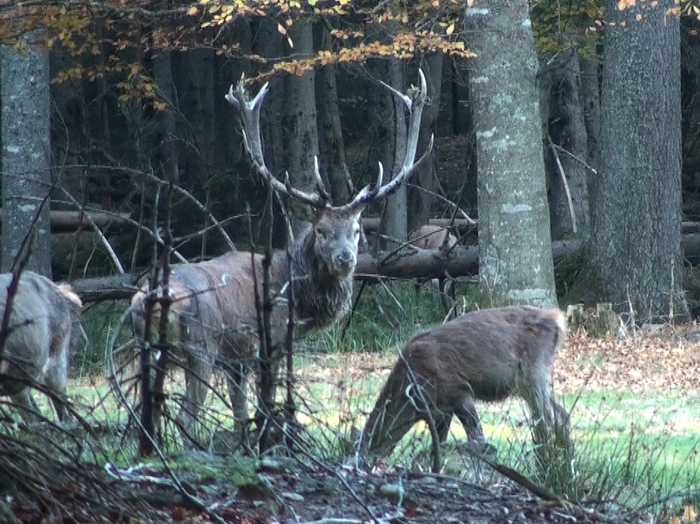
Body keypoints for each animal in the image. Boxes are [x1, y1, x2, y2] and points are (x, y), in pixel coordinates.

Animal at [128, 71, 430, 444]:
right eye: (321, 230)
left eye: (357, 230)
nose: (345, 259)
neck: (298, 296)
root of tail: (148, 299)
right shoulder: (269, 342)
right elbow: (265, 405)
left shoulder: (236, 358)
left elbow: (240, 412)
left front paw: (245, 444)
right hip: (199, 348)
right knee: (186, 417)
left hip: (145, 349)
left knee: (146, 414)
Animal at [358, 308, 572, 466]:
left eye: (368, 443)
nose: (363, 464)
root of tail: (557, 319)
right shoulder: (440, 410)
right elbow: (439, 445)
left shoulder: (458, 390)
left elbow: (477, 438)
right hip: (525, 385)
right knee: (558, 416)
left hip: (534, 372)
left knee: (551, 419)